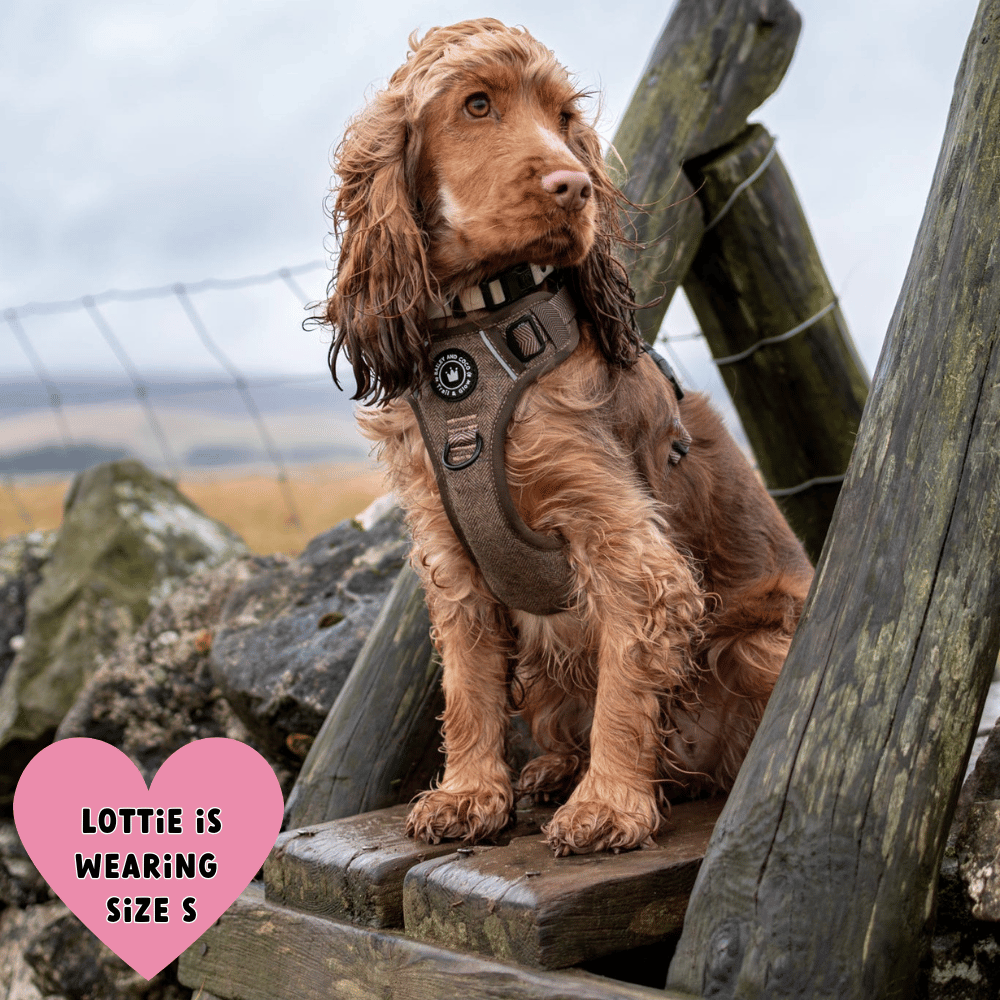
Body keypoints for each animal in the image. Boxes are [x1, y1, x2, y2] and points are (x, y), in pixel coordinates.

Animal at [320, 19, 812, 856]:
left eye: (563, 118)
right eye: (476, 104)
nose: (573, 187)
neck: (479, 337)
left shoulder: (627, 551)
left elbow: (625, 689)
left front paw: (609, 806)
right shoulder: (452, 557)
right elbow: (470, 689)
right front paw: (470, 794)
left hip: (751, 644)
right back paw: (552, 769)